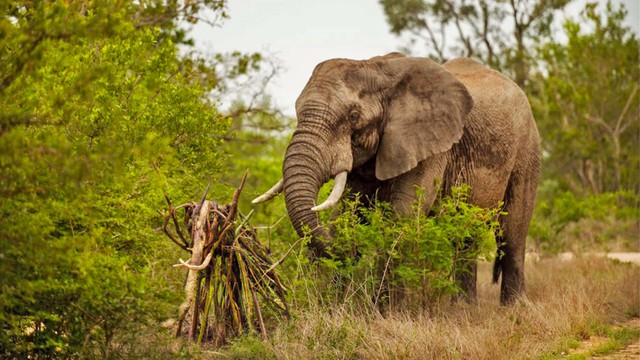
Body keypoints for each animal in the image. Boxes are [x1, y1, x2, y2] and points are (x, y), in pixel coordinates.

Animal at [254, 52, 540, 306]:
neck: (376, 68)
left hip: (527, 150)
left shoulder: (430, 145)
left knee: (512, 233)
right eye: (297, 111)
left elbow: (404, 214)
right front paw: (335, 306)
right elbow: (348, 213)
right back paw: (463, 308)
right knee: (465, 237)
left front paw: (385, 312)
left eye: (353, 116)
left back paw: (514, 308)